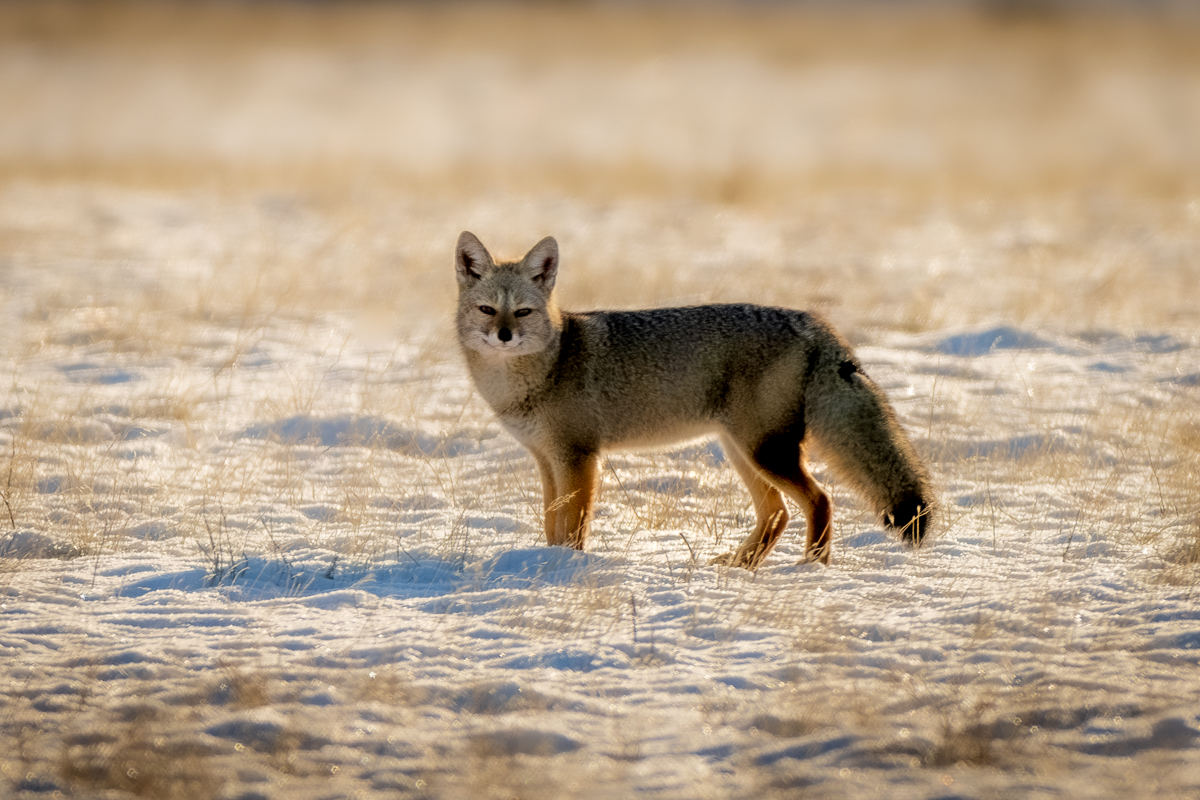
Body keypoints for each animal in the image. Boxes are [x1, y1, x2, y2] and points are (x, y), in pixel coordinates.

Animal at [455, 231, 935, 568]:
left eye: (522, 312)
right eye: (487, 310)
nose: (504, 335)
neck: (543, 371)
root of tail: (812, 320)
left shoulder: (578, 458)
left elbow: (572, 526)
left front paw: (564, 567)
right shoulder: (546, 459)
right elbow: (551, 522)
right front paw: (549, 561)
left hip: (764, 452)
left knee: (820, 500)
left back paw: (811, 567)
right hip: (742, 451)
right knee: (777, 513)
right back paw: (742, 564)